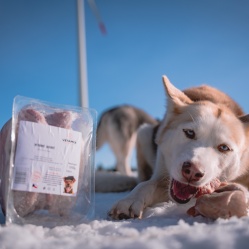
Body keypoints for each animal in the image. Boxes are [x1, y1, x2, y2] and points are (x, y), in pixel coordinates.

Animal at [108, 75, 249, 219]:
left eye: (224, 148)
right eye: (189, 132)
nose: (192, 171)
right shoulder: (162, 175)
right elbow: (146, 185)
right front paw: (130, 200)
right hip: (144, 133)